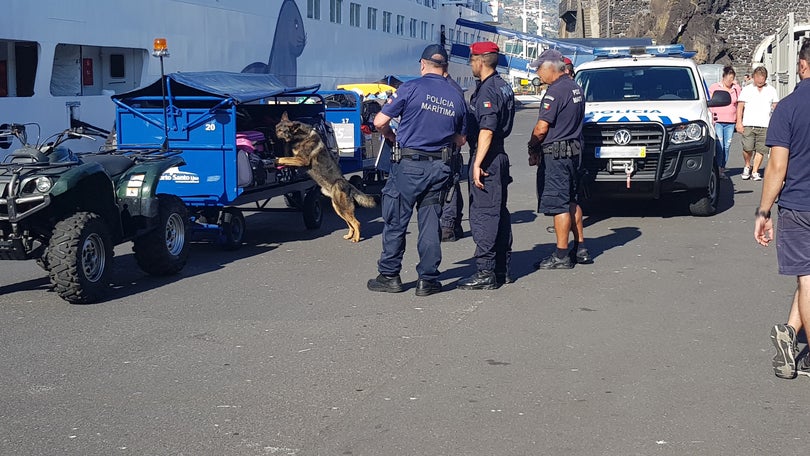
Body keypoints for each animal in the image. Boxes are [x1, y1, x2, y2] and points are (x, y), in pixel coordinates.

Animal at [274, 112, 376, 242]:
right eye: (277, 127)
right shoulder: (296, 157)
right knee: (350, 224)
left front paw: (275, 160)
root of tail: (349, 185)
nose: (273, 132)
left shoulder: (301, 160)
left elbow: (283, 158)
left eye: (281, 130)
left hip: (341, 207)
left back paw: (356, 239)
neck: (301, 136)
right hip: (338, 208)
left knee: (356, 223)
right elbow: (286, 156)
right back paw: (349, 235)